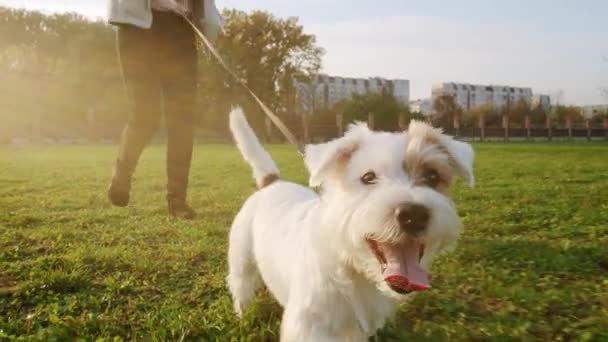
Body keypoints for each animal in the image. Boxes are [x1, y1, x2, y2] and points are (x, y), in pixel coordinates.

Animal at [226, 108, 472, 340]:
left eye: (432, 176)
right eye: (368, 177)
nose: (414, 214)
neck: (350, 263)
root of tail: (273, 182)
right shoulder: (309, 326)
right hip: (241, 260)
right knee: (241, 286)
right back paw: (243, 315)